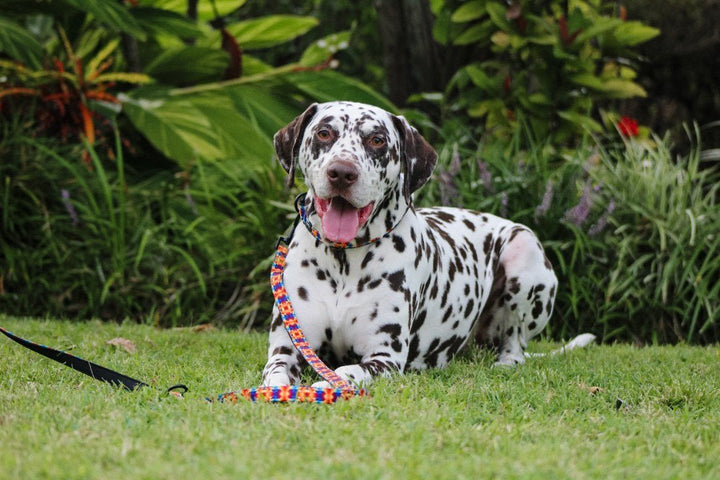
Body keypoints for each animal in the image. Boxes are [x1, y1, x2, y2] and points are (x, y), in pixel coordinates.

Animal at [262, 101, 576, 390]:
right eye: (324, 133)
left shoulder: (385, 359)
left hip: (523, 249)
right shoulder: (286, 349)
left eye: (377, 140)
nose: (341, 172)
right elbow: (275, 375)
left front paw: (327, 384)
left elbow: (345, 372)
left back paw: (507, 361)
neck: (343, 260)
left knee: (515, 342)